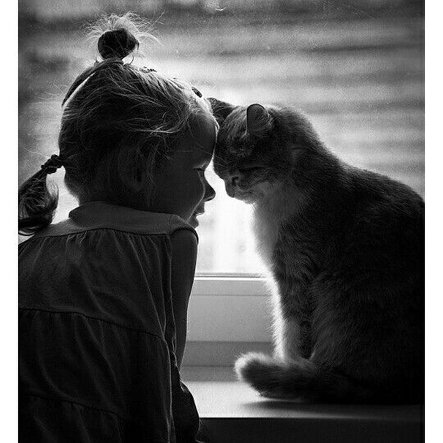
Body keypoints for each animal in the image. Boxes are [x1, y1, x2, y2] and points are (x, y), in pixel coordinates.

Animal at [209, 98, 424, 403]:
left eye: (240, 173)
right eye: (222, 176)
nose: (229, 190)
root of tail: (400, 388)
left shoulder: (295, 276)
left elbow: (291, 332)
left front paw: (287, 365)